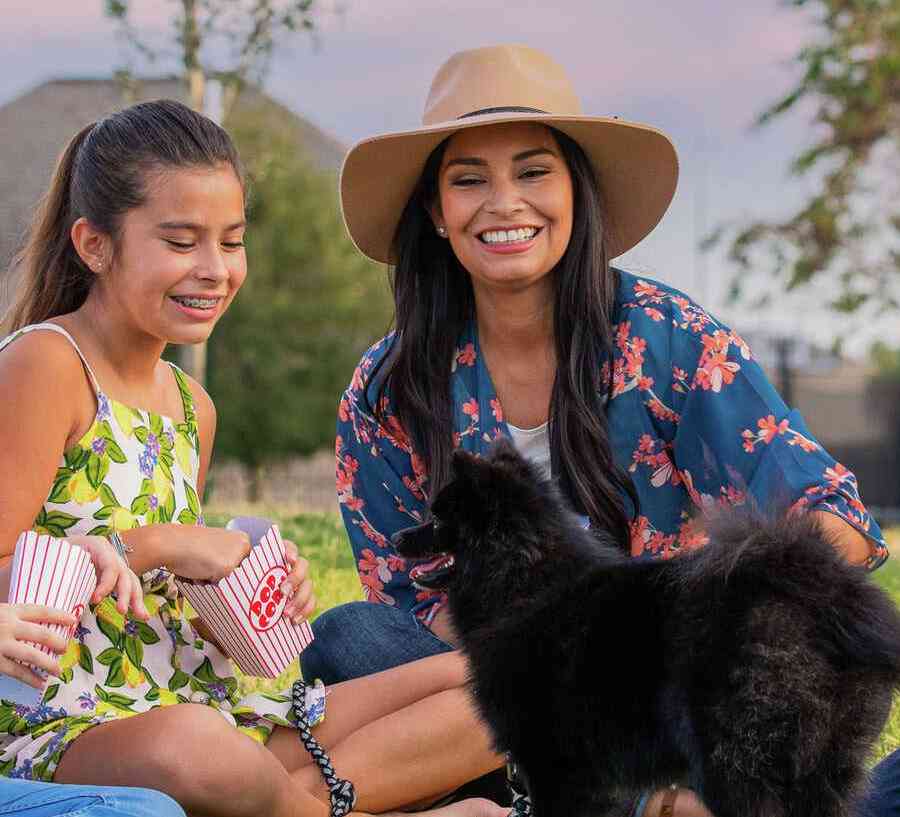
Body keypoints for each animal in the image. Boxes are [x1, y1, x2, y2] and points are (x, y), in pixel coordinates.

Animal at [398, 440, 900, 816]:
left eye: (438, 519)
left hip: (737, 767)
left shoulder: (552, 764)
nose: (400, 537)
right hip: (824, 772)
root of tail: (824, 597)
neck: (526, 583)